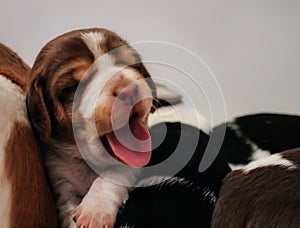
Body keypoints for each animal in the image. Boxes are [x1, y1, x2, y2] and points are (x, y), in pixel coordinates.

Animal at [27, 27, 157, 227]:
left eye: (129, 65)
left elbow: (113, 173)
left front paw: (95, 210)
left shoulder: (133, 164)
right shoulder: (62, 181)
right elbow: (67, 208)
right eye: (73, 86)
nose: (128, 90)